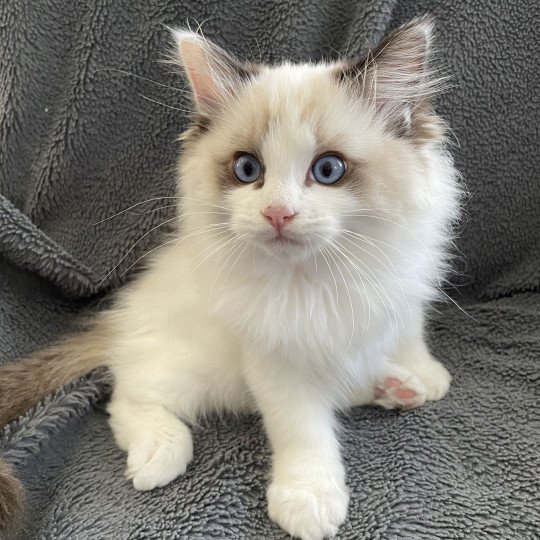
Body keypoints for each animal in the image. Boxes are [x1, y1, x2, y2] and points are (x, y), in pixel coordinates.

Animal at [0, 16, 462, 540]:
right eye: (247, 169)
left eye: (328, 169)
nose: (278, 213)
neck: (323, 272)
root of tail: (118, 321)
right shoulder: (275, 358)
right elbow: (303, 430)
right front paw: (308, 498)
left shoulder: (403, 290)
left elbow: (407, 334)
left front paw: (426, 373)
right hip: (187, 371)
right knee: (127, 396)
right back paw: (160, 453)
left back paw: (397, 387)